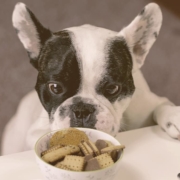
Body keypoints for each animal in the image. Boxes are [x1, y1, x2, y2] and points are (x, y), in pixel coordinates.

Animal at [1, 2, 180, 155]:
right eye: (55, 87)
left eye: (113, 89)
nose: (82, 109)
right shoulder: (35, 132)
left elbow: (161, 106)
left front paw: (173, 116)